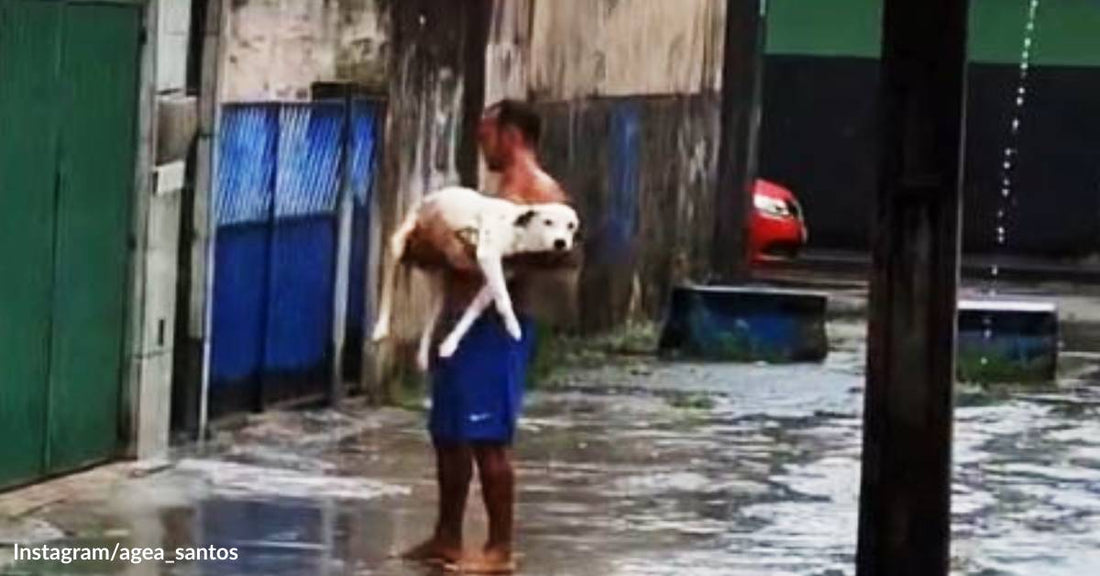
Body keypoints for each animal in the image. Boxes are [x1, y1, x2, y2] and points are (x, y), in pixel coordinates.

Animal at [371, 186, 580, 371]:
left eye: (571, 226)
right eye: (548, 222)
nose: (561, 243)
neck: (518, 232)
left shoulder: (495, 278)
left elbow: (472, 312)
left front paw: (450, 344)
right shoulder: (488, 257)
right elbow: (504, 301)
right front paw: (513, 327)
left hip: (439, 292)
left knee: (430, 320)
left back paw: (422, 356)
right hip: (399, 245)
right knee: (389, 275)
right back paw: (381, 327)